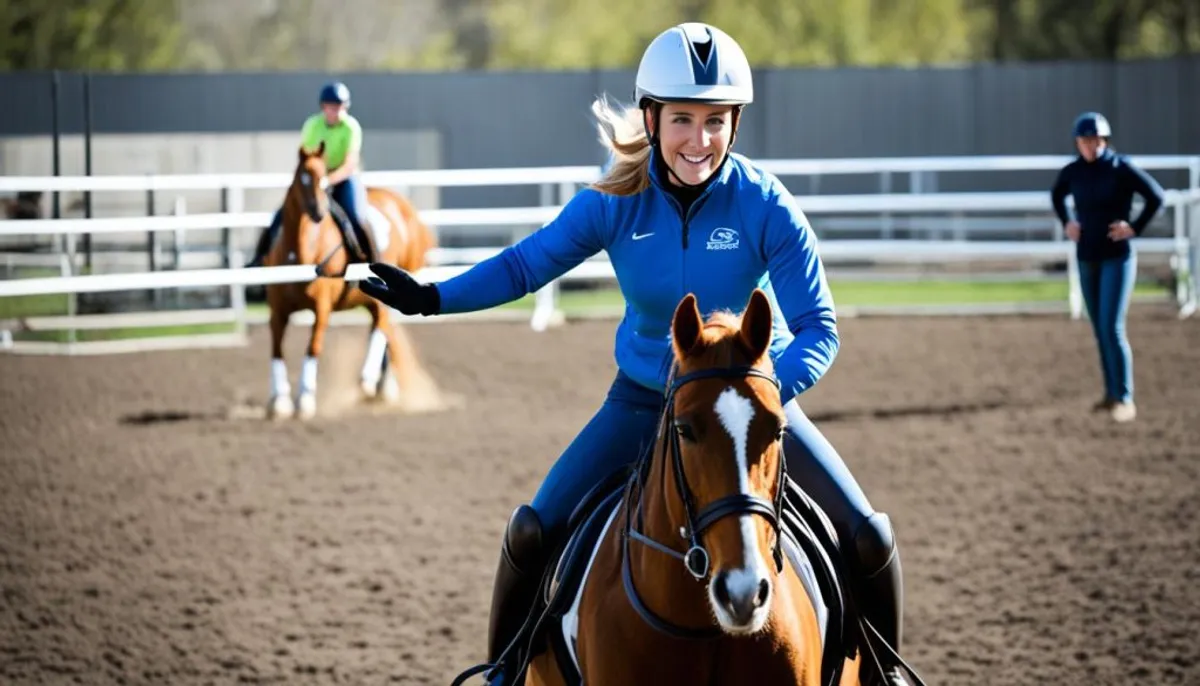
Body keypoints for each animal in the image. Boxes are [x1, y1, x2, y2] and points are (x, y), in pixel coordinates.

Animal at [262, 142, 436, 419]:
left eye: (323, 179)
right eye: (301, 178)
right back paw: (383, 385)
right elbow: (276, 350)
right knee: (383, 327)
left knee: (382, 326)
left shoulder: (322, 309)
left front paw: (305, 399)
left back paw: (369, 381)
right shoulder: (277, 311)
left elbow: (313, 347)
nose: (318, 212)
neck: (302, 252)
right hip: (374, 298)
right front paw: (279, 400)